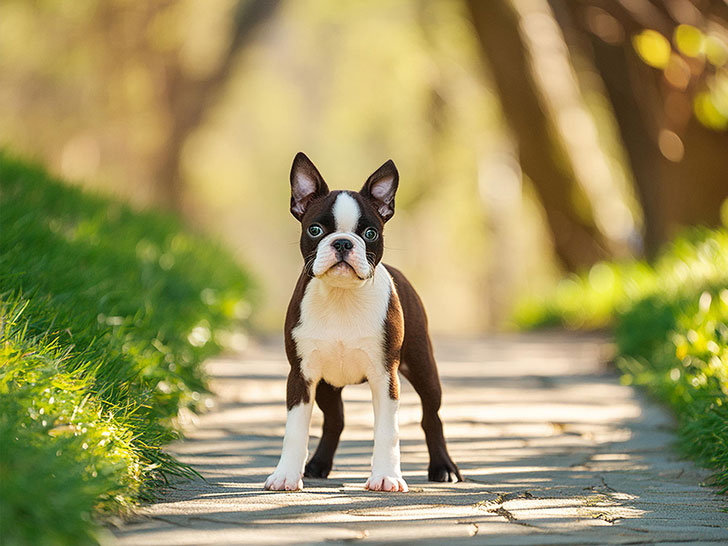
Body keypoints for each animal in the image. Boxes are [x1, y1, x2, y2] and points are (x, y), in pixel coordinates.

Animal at [264, 152, 464, 488]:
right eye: (315, 230)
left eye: (370, 234)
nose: (344, 243)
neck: (341, 296)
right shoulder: (301, 375)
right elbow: (295, 430)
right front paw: (286, 475)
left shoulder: (385, 376)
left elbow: (387, 431)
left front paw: (386, 476)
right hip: (328, 386)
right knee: (335, 420)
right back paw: (318, 464)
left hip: (423, 366)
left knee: (431, 416)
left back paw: (444, 468)